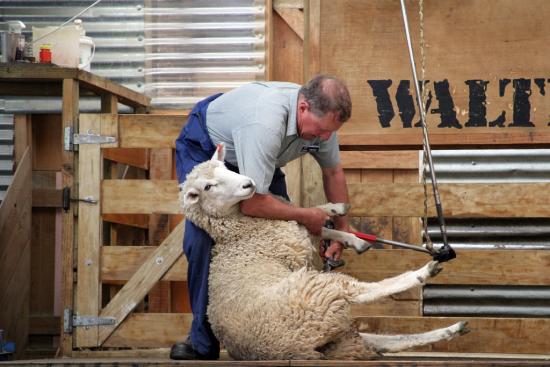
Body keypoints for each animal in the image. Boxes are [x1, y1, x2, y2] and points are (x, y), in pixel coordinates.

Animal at [180, 146, 470, 360]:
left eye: (226, 168)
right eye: (208, 187)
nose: (249, 184)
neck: (237, 232)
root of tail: (300, 345)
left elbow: (319, 224)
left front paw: (343, 224)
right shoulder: (291, 237)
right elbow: (313, 221)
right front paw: (340, 220)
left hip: (342, 337)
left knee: (382, 343)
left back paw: (452, 329)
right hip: (314, 291)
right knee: (362, 291)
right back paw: (425, 272)